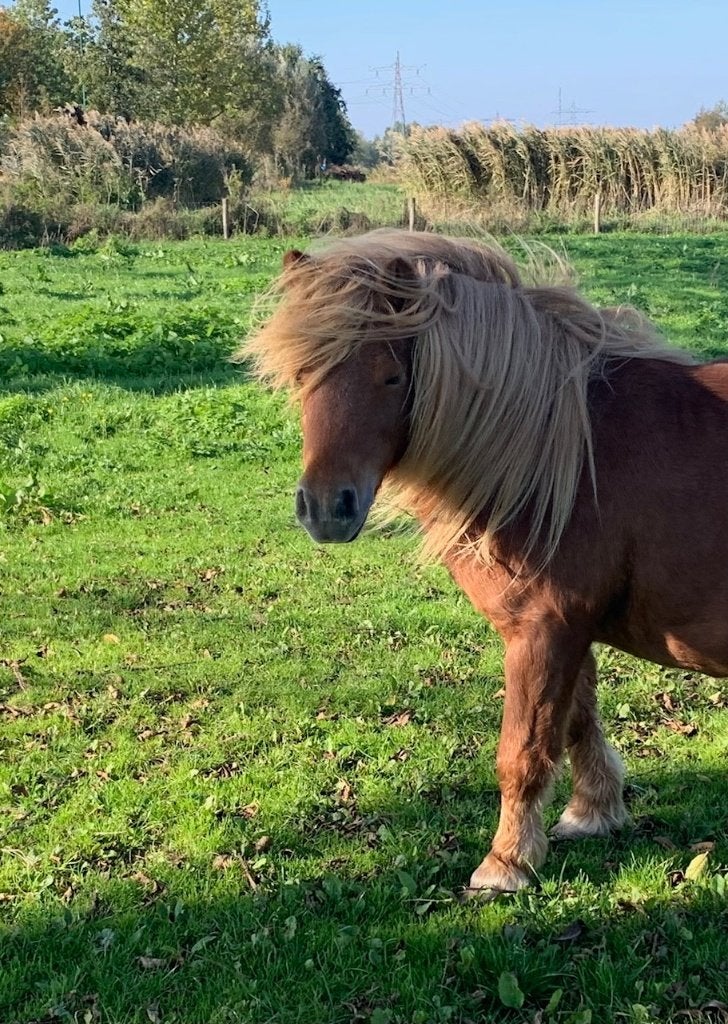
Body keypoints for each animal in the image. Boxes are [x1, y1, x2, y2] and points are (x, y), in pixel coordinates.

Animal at [240, 229, 728, 895]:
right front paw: (594, 812)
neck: (561, 453)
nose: (326, 509)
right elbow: (576, 721)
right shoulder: (571, 630)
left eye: (392, 377)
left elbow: (522, 750)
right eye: (302, 371)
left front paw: (506, 862)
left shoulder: (544, 629)